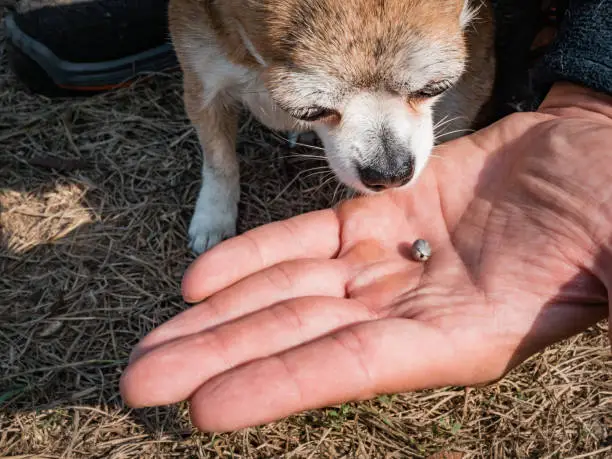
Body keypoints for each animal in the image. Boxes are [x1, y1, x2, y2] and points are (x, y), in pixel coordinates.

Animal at [170, 0, 494, 253]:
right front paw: (213, 217)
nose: (389, 174)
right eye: (313, 110)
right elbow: (220, 161)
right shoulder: (202, 83)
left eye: (434, 88)